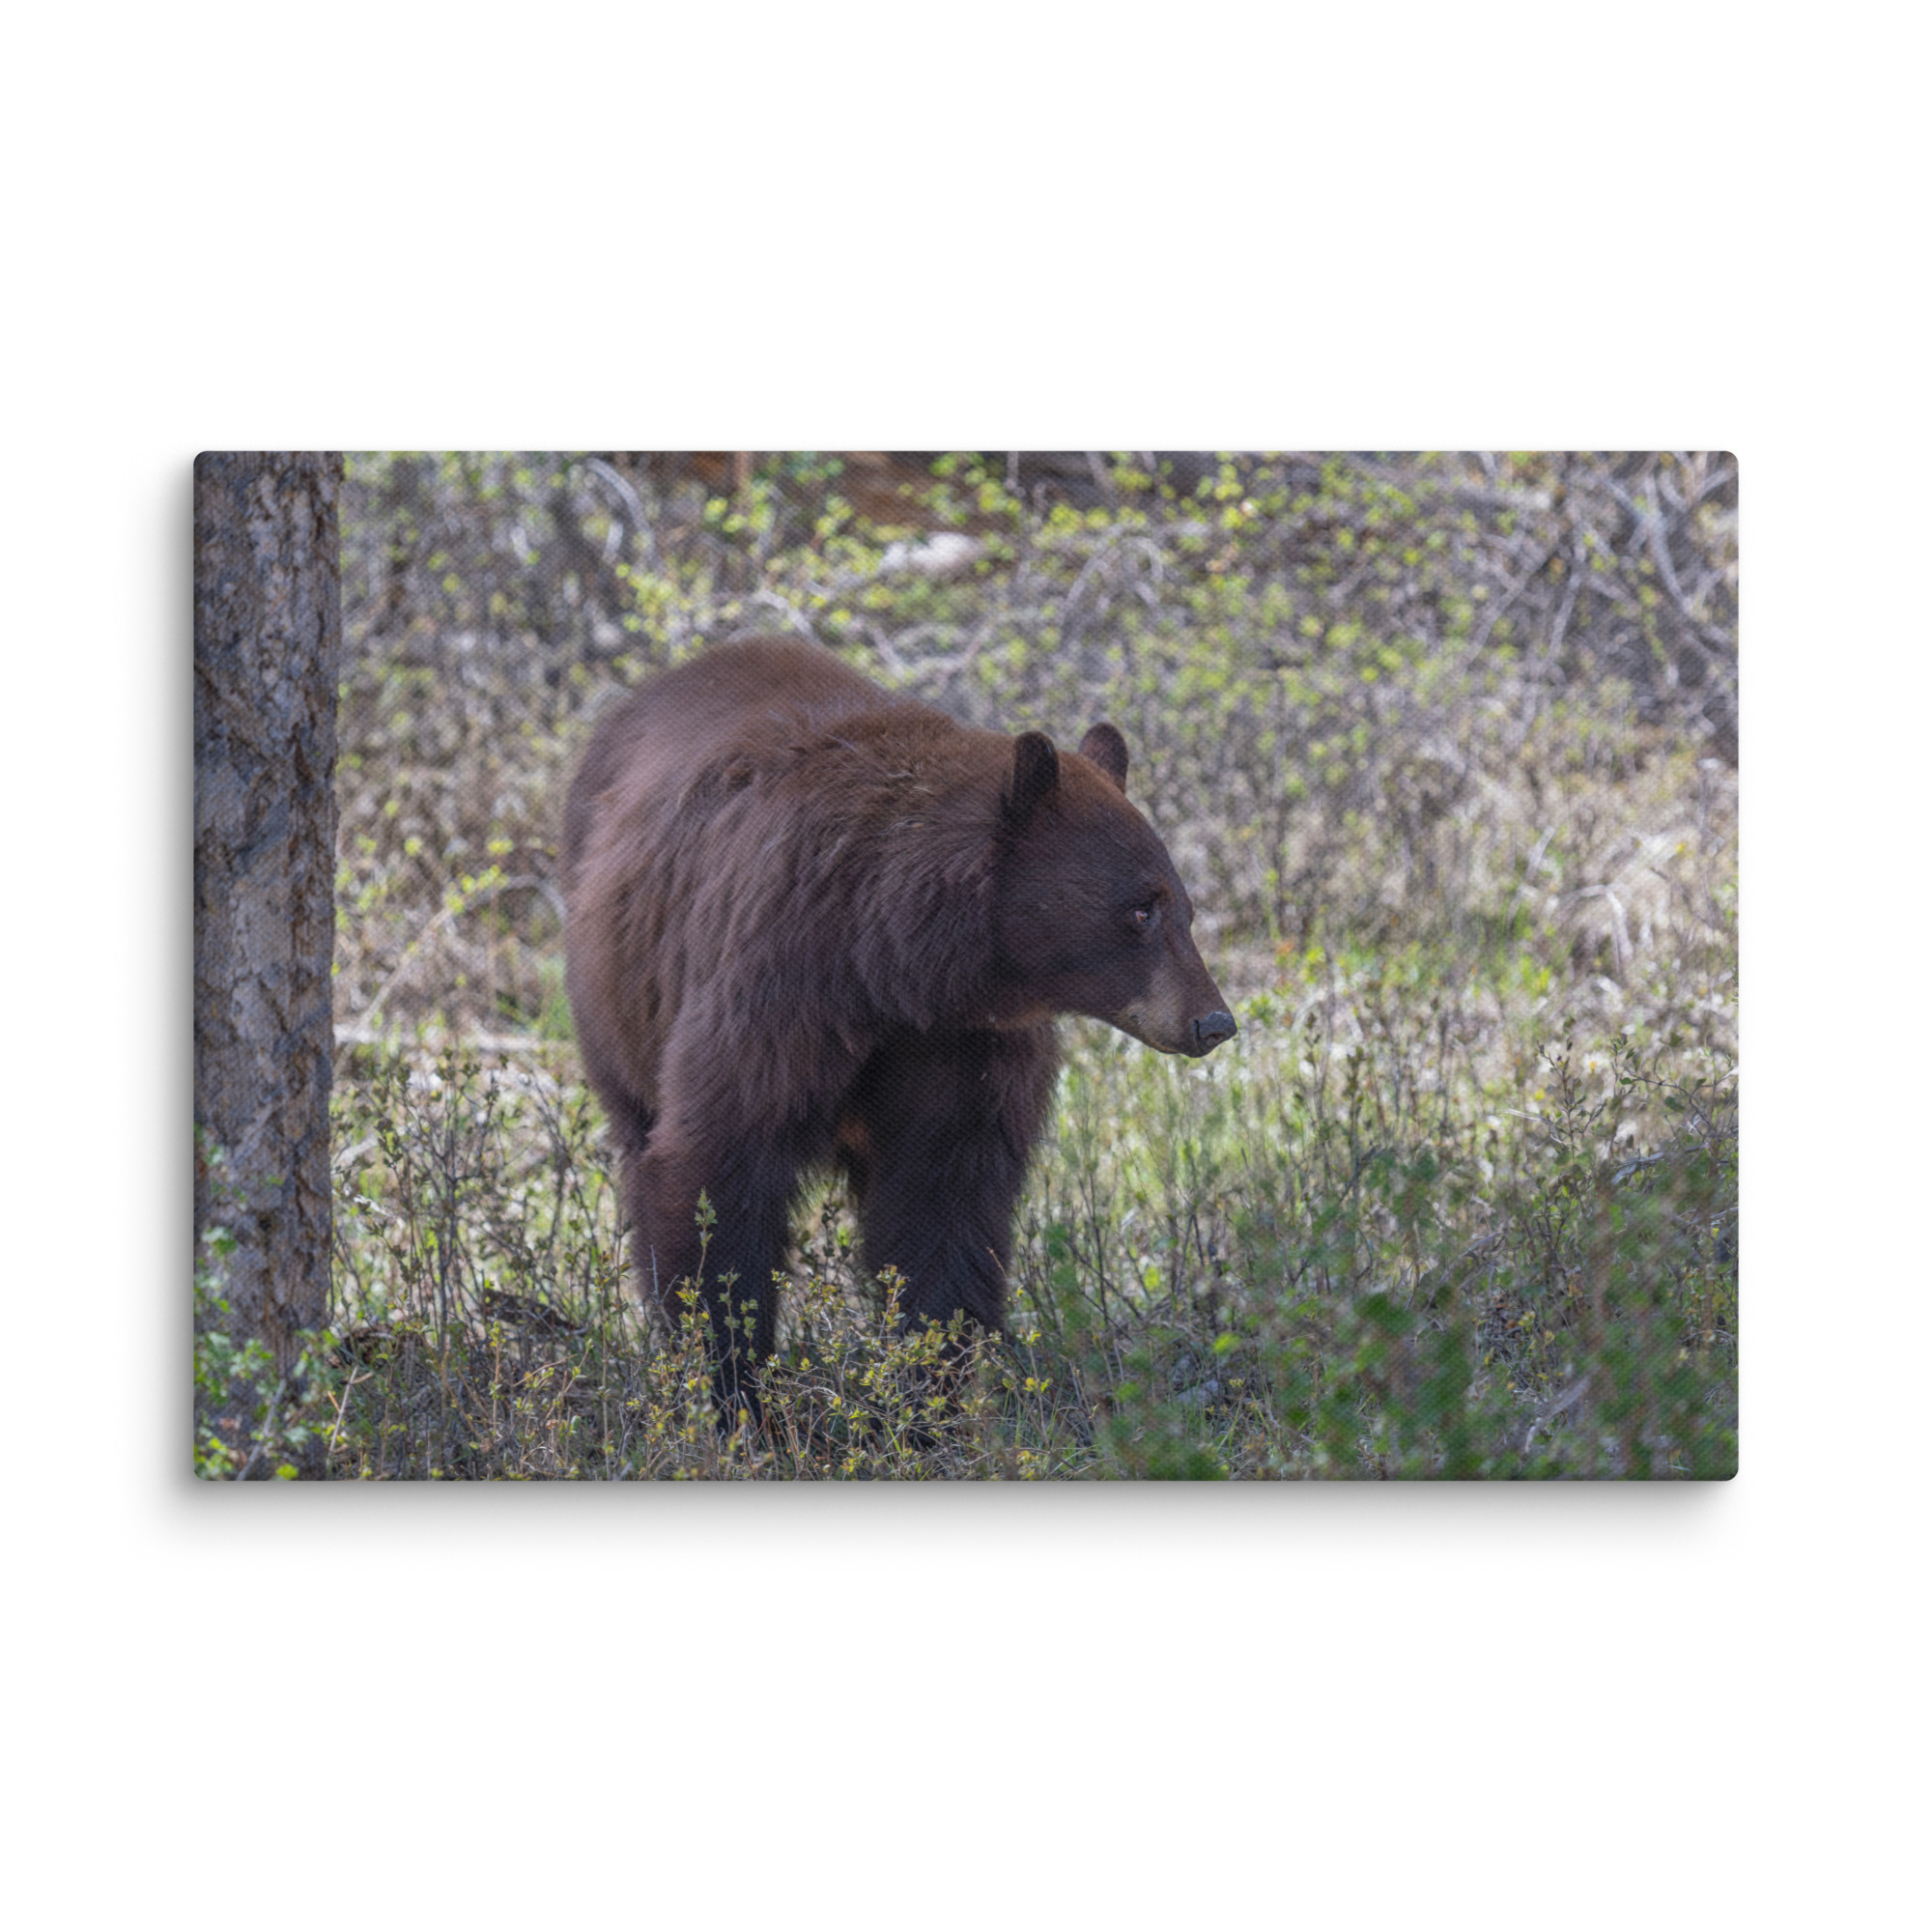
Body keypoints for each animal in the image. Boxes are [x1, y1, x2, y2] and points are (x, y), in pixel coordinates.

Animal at [561, 636, 1236, 1413]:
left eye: (1184, 907)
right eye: (1140, 910)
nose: (1213, 1021)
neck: (893, 963)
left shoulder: (964, 1044)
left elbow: (943, 1200)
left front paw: (928, 1393)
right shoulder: (778, 985)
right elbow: (719, 1165)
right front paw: (736, 1389)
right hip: (617, 1001)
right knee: (640, 1136)